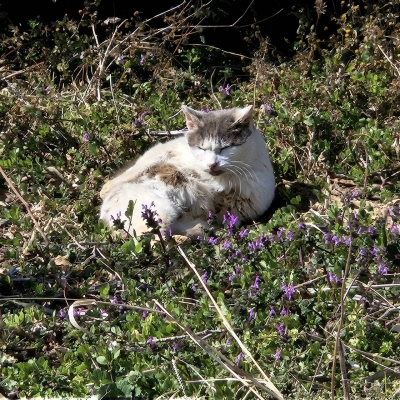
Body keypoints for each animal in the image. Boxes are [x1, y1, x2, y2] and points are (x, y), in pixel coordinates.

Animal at [99, 105, 276, 238]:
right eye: (201, 148)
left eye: (225, 148)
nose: (211, 164)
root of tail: (105, 214)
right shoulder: (169, 148)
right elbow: (144, 163)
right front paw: (105, 188)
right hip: (155, 209)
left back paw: (191, 235)